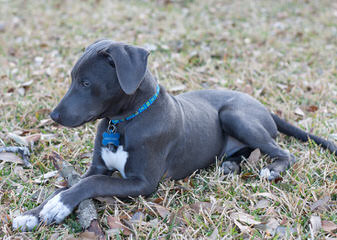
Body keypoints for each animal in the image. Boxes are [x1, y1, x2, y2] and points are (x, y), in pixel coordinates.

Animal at [11, 39, 334, 231]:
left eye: (86, 82)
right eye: (72, 79)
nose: (53, 116)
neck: (124, 121)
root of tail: (261, 105)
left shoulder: (143, 183)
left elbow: (92, 185)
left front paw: (58, 207)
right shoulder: (96, 167)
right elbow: (70, 184)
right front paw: (35, 212)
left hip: (234, 115)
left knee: (283, 152)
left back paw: (271, 170)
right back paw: (229, 165)